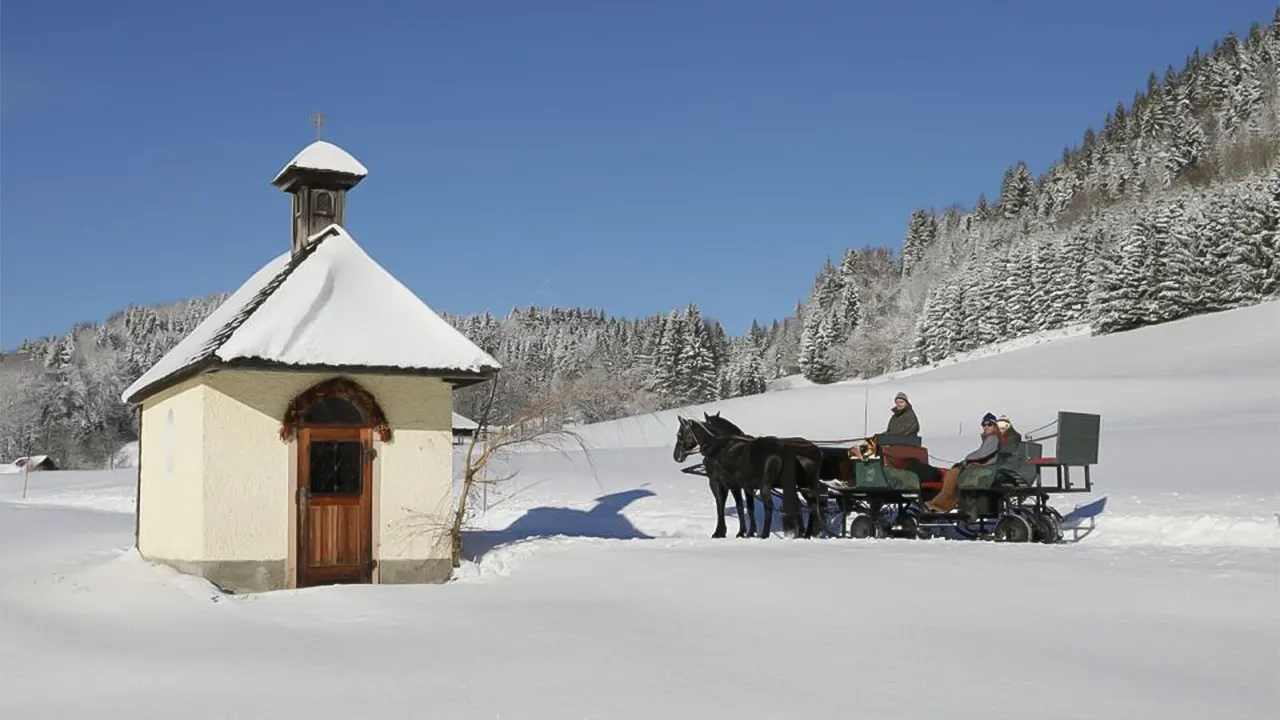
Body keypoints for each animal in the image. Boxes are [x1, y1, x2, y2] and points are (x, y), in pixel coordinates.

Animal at [675, 415, 803, 538]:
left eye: (679, 434)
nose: (676, 456)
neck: (717, 448)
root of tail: (780, 450)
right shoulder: (746, 487)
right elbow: (748, 508)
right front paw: (749, 532)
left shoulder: (722, 484)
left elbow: (725, 505)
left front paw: (722, 532)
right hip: (785, 483)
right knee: (796, 502)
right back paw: (801, 532)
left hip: (766, 486)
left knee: (769, 505)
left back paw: (765, 534)